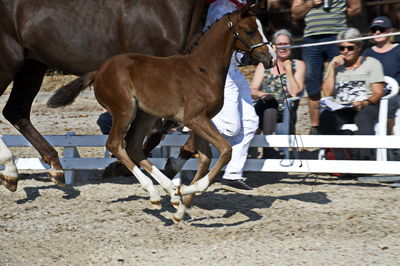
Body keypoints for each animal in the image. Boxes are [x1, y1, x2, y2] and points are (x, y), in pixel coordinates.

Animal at [0, 0, 205, 191]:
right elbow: (151, 134)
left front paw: (173, 166)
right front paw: (118, 167)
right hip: (9, 62)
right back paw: (11, 169)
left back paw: (51, 168)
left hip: (32, 65)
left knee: (15, 112)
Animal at [47, 1, 276, 222]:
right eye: (249, 31)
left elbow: (205, 158)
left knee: (134, 147)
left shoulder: (201, 120)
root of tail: (100, 71)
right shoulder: (195, 119)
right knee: (116, 144)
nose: (271, 58)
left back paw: (171, 192)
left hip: (146, 115)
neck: (203, 70)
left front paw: (182, 206)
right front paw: (188, 190)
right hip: (125, 111)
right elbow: (226, 150)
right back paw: (157, 193)